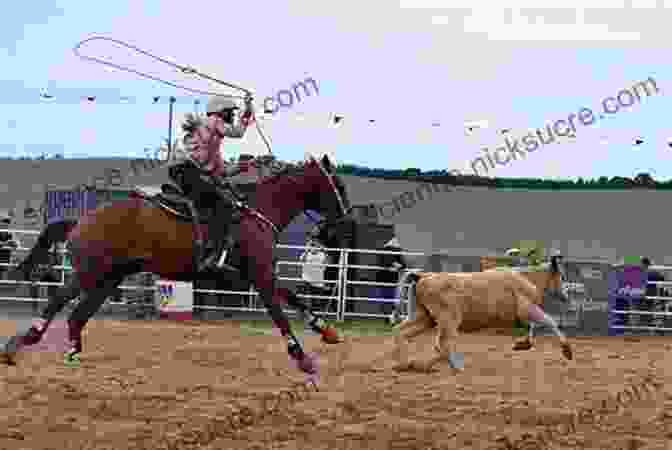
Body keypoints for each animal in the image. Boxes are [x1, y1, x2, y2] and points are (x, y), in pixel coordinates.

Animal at [1, 155, 356, 376]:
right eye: (337, 185)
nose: (347, 225)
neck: (256, 215)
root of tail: (81, 219)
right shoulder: (260, 275)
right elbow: (279, 313)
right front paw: (302, 357)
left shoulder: (260, 274)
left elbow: (293, 298)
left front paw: (327, 330)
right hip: (91, 273)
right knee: (58, 301)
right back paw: (19, 345)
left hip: (108, 279)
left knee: (76, 315)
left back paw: (72, 353)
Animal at [388, 268, 572, 372]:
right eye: (562, 277)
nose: (567, 296)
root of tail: (424, 276)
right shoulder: (527, 309)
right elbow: (549, 321)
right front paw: (567, 350)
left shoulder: (527, 312)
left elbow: (535, 325)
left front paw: (523, 344)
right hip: (449, 319)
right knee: (442, 343)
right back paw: (454, 366)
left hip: (425, 318)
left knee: (402, 332)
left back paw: (406, 365)